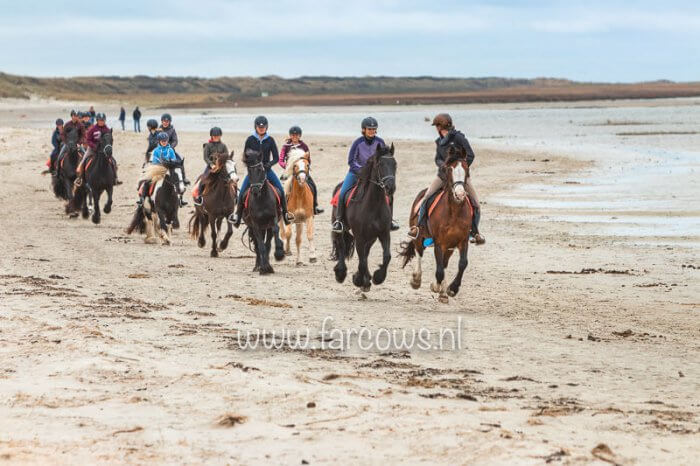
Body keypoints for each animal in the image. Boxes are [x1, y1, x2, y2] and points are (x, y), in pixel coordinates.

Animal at [330, 143, 396, 292]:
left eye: (395, 164)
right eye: (380, 164)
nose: (390, 187)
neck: (373, 205)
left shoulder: (384, 233)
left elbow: (386, 256)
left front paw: (377, 277)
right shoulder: (360, 236)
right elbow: (362, 260)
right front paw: (359, 280)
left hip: (371, 237)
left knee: (365, 252)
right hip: (341, 228)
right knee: (341, 245)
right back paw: (341, 273)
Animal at [396, 147, 474, 304]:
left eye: (466, 169)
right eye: (449, 169)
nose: (460, 194)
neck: (454, 211)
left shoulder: (462, 241)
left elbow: (462, 263)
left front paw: (451, 289)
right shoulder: (439, 242)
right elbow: (439, 270)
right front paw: (435, 286)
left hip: (450, 246)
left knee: (444, 263)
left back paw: (443, 293)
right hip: (419, 236)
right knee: (419, 253)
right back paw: (416, 280)